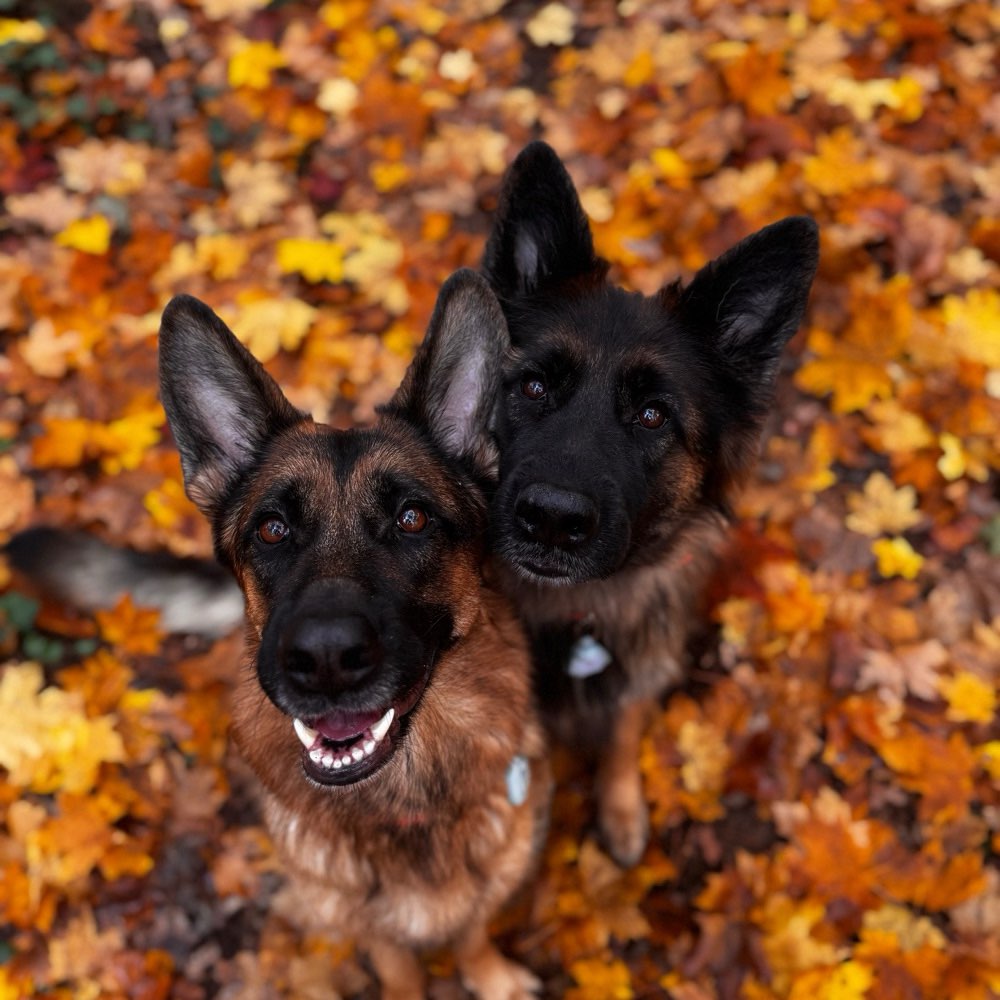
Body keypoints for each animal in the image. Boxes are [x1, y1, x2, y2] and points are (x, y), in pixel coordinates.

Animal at [480, 143, 816, 868]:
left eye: (653, 415)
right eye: (534, 386)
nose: (552, 520)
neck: (576, 613)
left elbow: (624, 728)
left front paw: (621, 807)